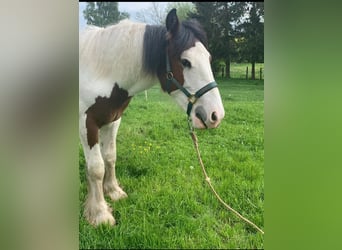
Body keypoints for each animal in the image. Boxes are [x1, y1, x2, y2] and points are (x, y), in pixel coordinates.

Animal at [79, 8, 226, 226]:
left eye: (208, 58)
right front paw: (99, 214)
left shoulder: (113, 120)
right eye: (185, 61)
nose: (216, 115)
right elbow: (96, 168)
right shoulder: (87, 124)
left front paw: (113, 192)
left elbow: (110, 157)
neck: (97, 71)